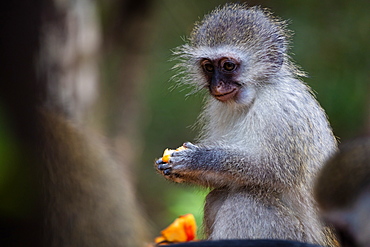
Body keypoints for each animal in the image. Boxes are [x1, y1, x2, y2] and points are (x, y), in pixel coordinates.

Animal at [156, 2, 338, 246]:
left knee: (246, 200)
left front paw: (197, 159)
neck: (255, 94)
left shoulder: (281, 109)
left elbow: (271, 169)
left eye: (228, 66)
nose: (217, 86)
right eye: (208, 67)